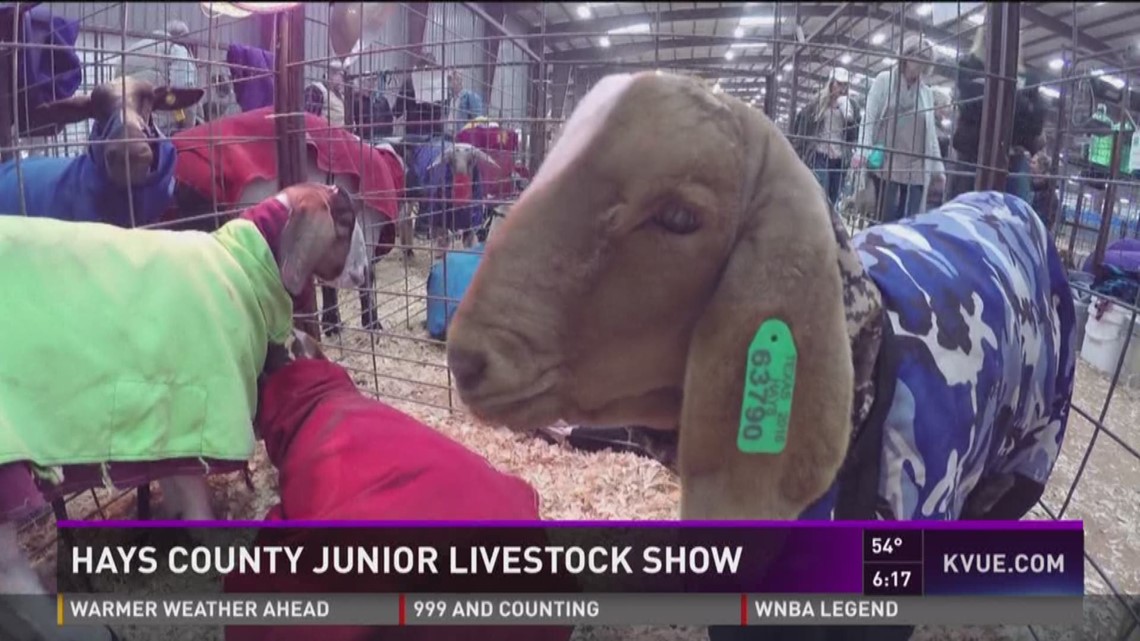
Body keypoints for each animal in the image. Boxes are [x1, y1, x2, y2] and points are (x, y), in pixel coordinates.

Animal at [0, 180, 364, 638]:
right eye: (345, 219)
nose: (365, 274)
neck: (241, 264)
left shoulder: (167, 432)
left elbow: (175, 479)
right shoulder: (193, 405)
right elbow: (195, 499)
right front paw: (222, 546)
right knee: (11, 575)